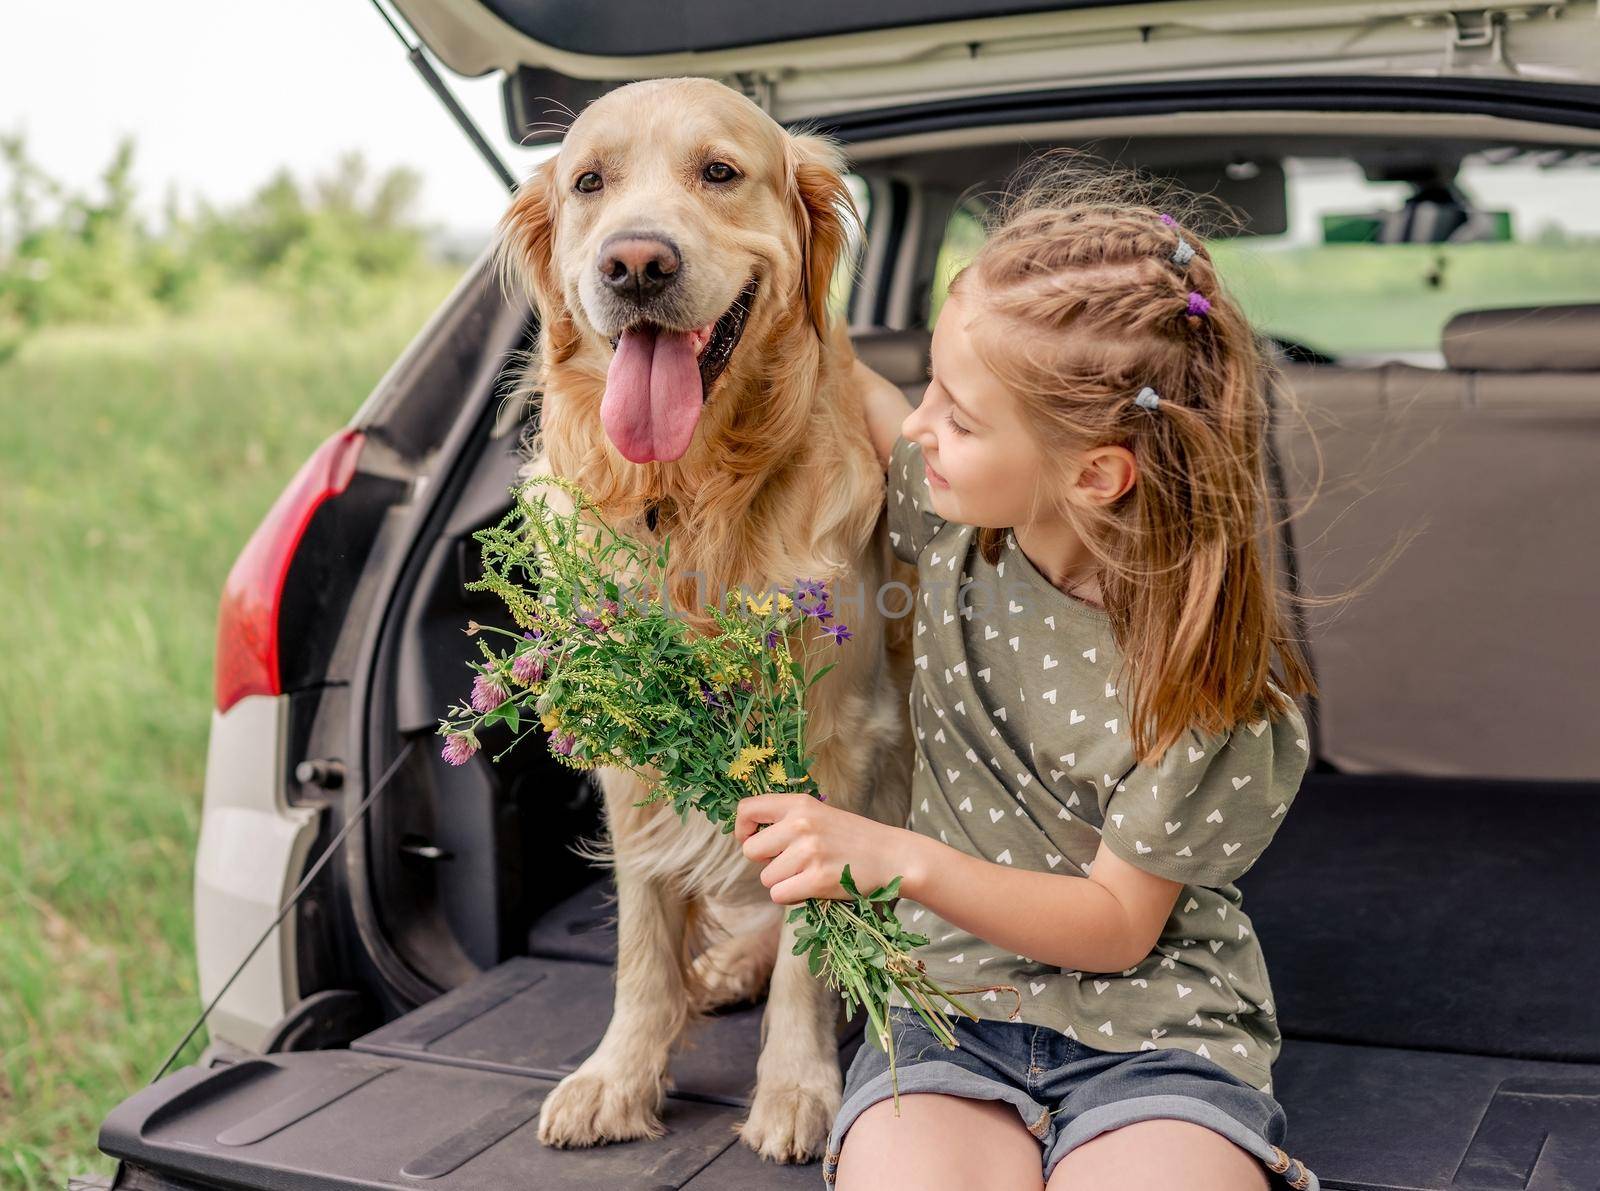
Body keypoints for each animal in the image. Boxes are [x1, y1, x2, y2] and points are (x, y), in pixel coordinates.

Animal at [486, 76, 921, 1165]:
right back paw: (723, 967)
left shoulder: (837, 738)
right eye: (589, 182)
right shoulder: (631, 743)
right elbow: (644, 938)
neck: (691, 500)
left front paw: (796, 1087)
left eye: (719, 172)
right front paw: (620, 1076)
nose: (635, 263)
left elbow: (812, 938)